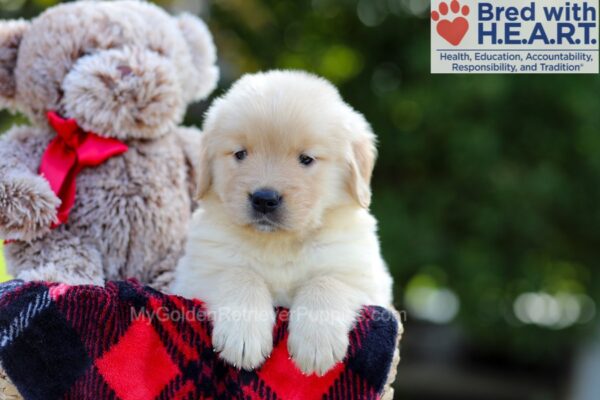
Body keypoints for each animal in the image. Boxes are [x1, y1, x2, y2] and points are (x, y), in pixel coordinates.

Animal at [171, 70, 394, 376]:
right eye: (240, 154)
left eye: (306, 159)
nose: (264, 199)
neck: (279, 243)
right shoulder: (198, 272)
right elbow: (240, 275)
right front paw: (244, 336)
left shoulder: (364, 280)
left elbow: (327, 281)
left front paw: (316, 343)